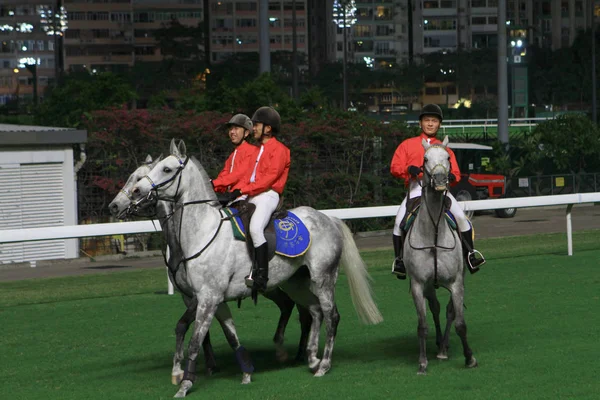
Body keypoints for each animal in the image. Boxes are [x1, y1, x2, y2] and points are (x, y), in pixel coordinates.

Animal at [108, 155, 312, 386]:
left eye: (139, 177)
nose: (114, 206)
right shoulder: (192, 295)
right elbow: (205, 331)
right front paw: (209, 365)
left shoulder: (206, 294)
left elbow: (186, 326)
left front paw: (189, 368)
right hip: (280, 284)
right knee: (291, 306)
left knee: (303, 312)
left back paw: (298, 353)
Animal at [130, 140, 384, 396]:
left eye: (167, 169)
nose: (136, 192)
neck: (204, 231)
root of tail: (329, 219)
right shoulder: (206, 298)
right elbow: (223, 334)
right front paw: (242, 372)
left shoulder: (208, 298)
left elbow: (194, 341)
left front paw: (185, 384)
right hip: (296, 282)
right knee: (314, 311)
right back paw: (311, 358)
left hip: (323, 279)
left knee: (332, 315)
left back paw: (323, 365)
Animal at [404, 137, 478, 376]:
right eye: (425, 159)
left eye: (447, 157)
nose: (439, 180)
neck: (434, 233)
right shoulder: (418, 285)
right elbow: (422, 325)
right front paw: (422, 362)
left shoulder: (456, 283)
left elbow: (460, 323)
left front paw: (469, 358)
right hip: (429, 286)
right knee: (435, 308)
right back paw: (439, 344)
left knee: (448, 312)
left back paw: (444, 348)